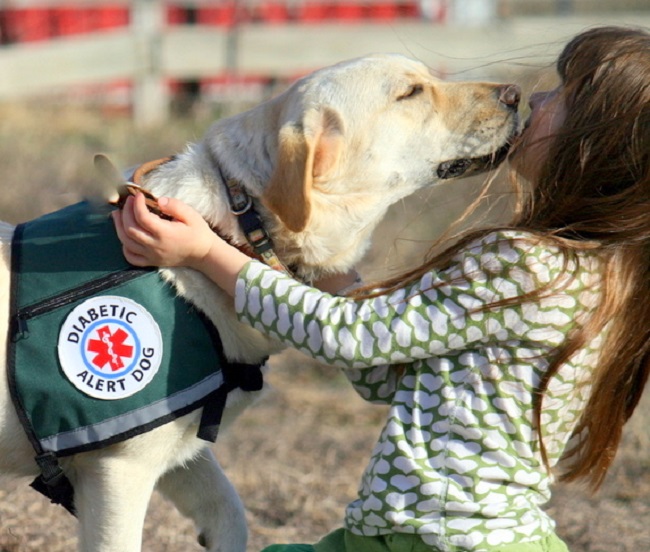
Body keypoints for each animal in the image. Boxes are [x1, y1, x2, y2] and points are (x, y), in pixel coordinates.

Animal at [0, 52, 520, 552]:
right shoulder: (120, 468)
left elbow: (229, 515)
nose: (516, 94)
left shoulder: (179, 451)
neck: (230, 227)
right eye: (410, 93)